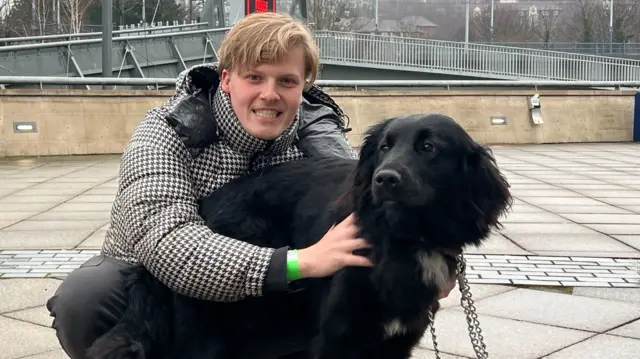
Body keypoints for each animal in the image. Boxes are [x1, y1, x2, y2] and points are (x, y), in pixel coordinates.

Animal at [87, 114, 512, 359]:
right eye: (384, 147)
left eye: (428, 147)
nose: (384, 179)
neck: (402, 239)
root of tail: (197, 213)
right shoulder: (337, 338)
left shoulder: (395, 341)